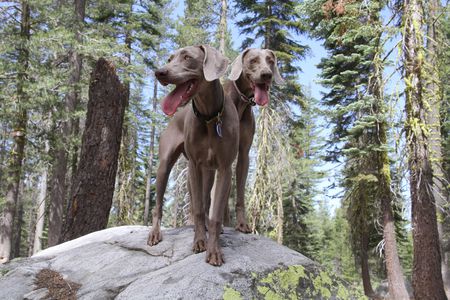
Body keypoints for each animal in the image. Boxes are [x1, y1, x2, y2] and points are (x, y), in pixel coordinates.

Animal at [149, 44, 237, 264]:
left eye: (187, 57)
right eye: (169, 59)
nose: (159, 72)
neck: (209, 117)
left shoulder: (225, 168)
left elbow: (215, 215)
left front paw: (213, 249)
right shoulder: (194, 166)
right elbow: (196, 209)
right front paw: (199, 242)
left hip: (209, 172)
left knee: (206, 202)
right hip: (165, 166)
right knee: (158, 205)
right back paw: (154, 233)